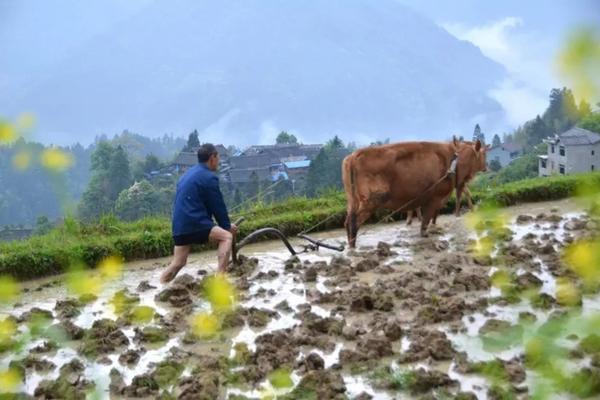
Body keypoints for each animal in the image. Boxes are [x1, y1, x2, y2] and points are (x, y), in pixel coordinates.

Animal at [342, 140, 482, 247]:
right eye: (480, 155)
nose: (485, 167)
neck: (452, 160)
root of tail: (354, 156)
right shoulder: (434, 198)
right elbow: (426, 219)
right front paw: (425, 233)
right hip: (372, 200)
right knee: (354, 222)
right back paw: (353, 245)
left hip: (352, 200)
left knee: (348, 220)